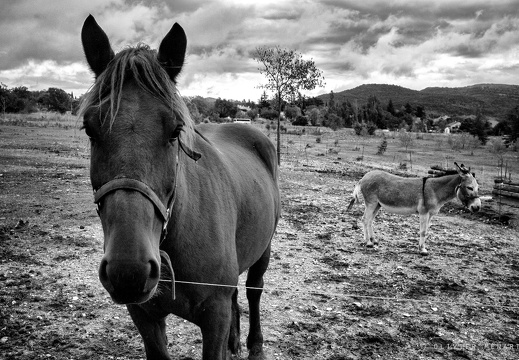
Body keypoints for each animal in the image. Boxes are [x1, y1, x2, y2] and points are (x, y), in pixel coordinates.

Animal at [78, 14, 280, 360]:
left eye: (175, 130)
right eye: (90, 129)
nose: (129, 270)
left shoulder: (214, 317)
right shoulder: (145, 316)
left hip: (264, 249)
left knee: (254, 291)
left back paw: (255, 345)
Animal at [348, 162, 482, 255]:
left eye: (478, 188)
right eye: (470, 187)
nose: (477, 207)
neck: (435, 190)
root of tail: (364, 176)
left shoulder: (430, 214)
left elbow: (426, 231)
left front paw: (422, 247)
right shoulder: (424, 213)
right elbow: (423, 231)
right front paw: (422, 250)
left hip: (377, 204)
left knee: (370, 220)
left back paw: (373, 240)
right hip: (371, 203)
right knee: (365, 219)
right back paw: (368, 242)